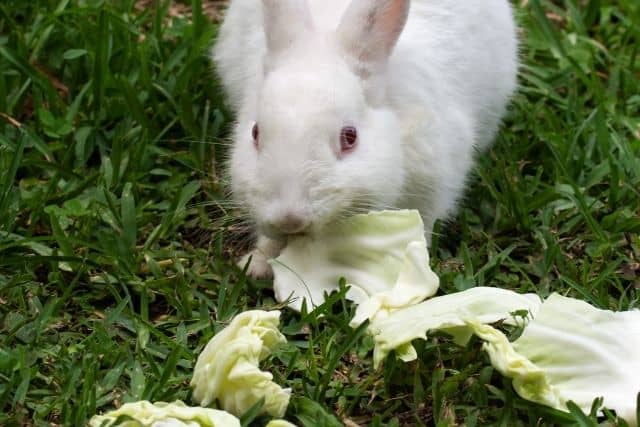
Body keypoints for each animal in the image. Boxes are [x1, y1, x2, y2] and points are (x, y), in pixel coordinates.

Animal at [214, 0, 519, 278]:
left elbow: (423, 221)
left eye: (350, 137)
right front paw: (257, 264)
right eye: (255, 133)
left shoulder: (434, 179)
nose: (290, 219)